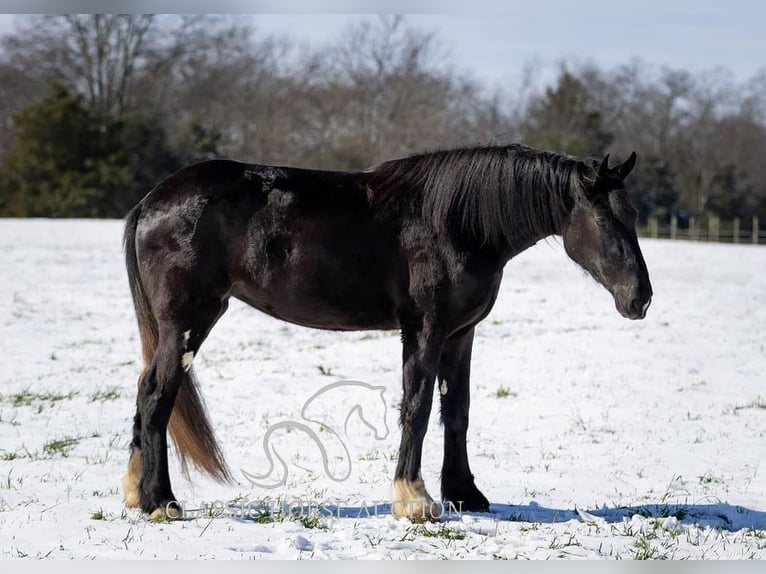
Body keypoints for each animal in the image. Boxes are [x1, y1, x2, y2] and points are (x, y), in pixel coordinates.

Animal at [121, 143, 656, 520]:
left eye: (632, 216)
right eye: (603, 218)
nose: (641, 298)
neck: (457, 223)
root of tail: (150, 202)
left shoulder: (460, 335)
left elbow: (457, 412)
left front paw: (465, 494)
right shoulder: (424, 330)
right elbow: (416, 409)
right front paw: (413, 499)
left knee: (145, 390)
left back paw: (135, 491)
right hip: (188, 324)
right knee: (158, 395)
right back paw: (160, 502)